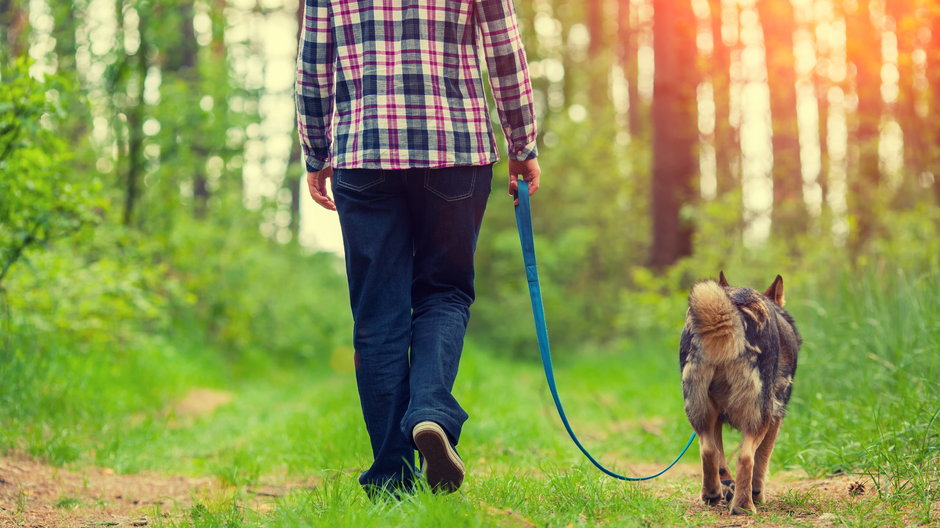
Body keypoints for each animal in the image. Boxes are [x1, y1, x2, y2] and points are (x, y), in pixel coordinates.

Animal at [676, 272, 800, 516]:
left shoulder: (716, 420)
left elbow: (721, 461)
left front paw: (727, 488)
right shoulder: (775, 419)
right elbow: (761, 461)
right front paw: (757, 494)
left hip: (700, 414)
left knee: (709, 452)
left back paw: (712, 494)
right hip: (758, 417)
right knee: (745, 458)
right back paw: (744, 506)